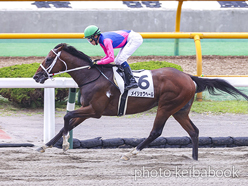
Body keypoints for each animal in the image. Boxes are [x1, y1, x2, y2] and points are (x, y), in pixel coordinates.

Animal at [33, 43, 248, 160]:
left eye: (49, 58)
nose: (36, 77)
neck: (92, 76)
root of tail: (188, 76)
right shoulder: (88, 110)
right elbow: (67, 124)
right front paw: (44, 146)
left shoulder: (95, 110)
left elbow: (67, 116)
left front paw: (64, 145)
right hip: (180, 110)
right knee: (193, 131)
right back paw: (194, 159)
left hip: (167, 106)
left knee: (156, 132)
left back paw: (130, 153)